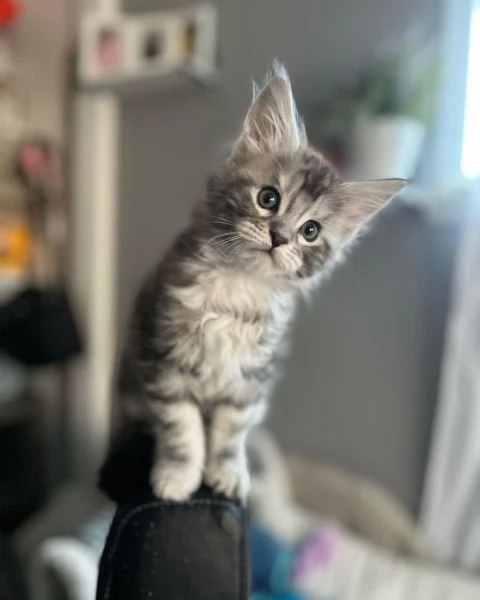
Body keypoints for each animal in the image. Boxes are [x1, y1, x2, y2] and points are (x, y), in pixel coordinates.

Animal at [108, 63, 404, 504]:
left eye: (311, 231)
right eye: (268, 198)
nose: (279, 237)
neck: (238, 286)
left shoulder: (248, 385)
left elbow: (229, 434)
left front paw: (227, 473)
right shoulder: (164, 362)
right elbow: (182, 428)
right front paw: (178, 475)